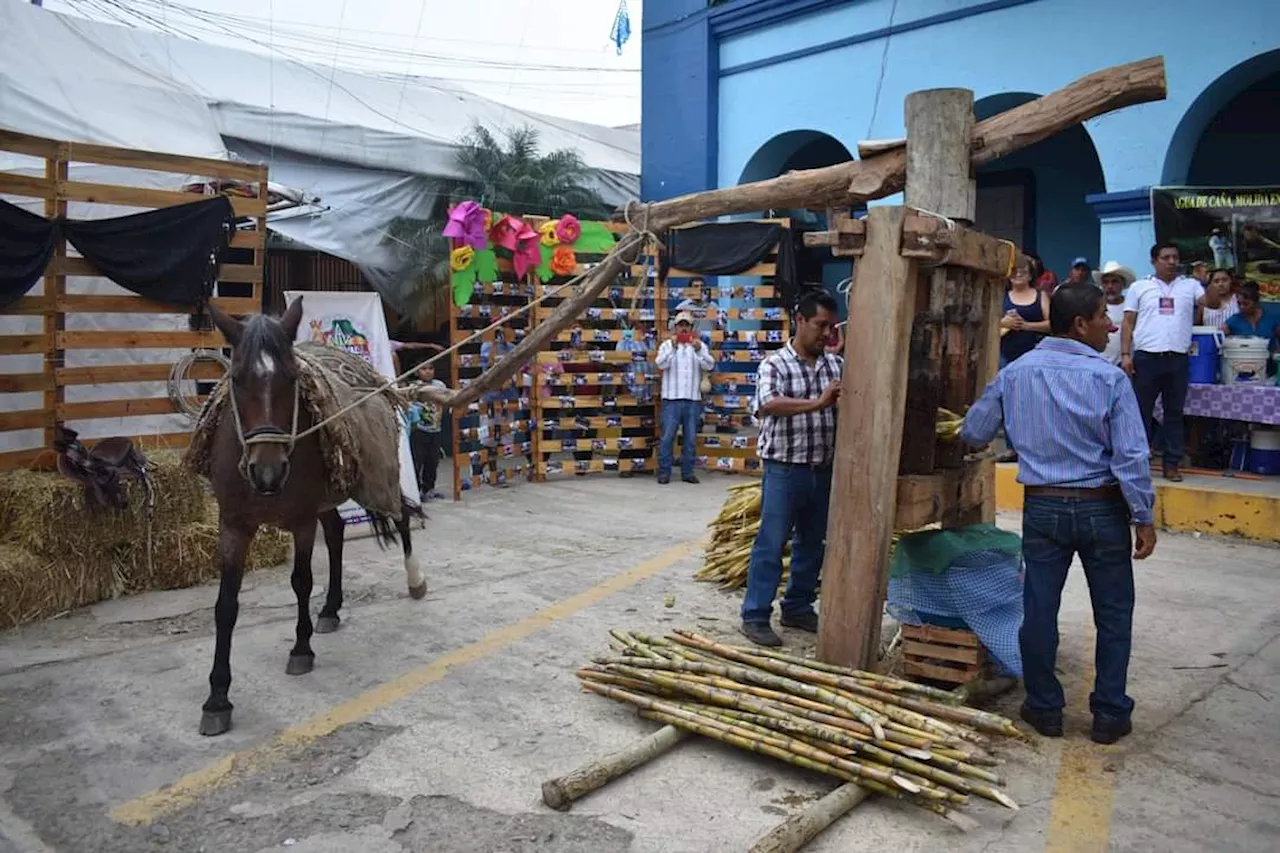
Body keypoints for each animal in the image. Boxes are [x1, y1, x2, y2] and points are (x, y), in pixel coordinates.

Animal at [195, 295, 424, 732]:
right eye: (237, 379)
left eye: (291, 379)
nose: (267, 471)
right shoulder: (232, 524)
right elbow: (225, 605)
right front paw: (217, 697)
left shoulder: (301, 520)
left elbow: (301, 581)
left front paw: (301, 649)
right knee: (336, 532)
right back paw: (331, 608)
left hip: (378, 478)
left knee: (402, 514)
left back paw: (415, 581)